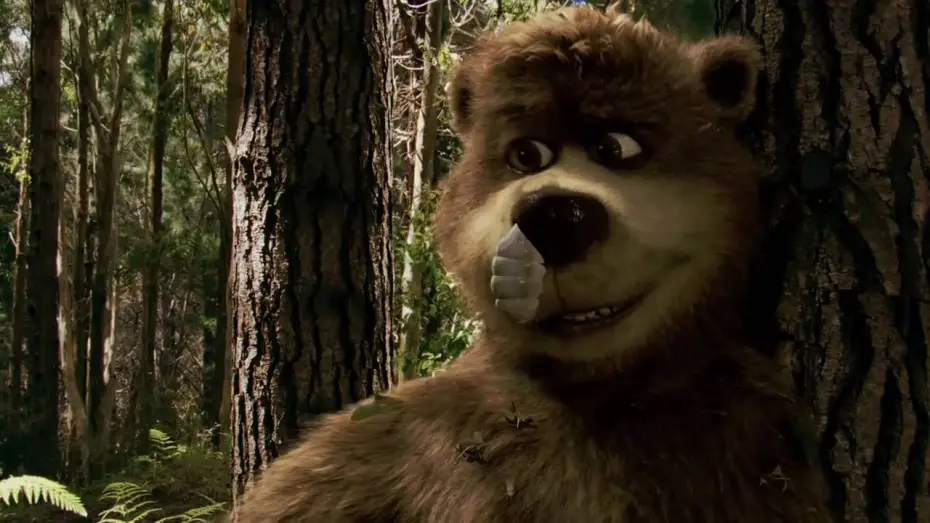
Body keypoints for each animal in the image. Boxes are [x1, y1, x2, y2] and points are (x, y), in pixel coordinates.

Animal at [234, 6, 835, 523]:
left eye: (616, 147)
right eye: (526, 154)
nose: (551, 217)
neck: (593, 393)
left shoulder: (749, 430)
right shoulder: (390, 431)